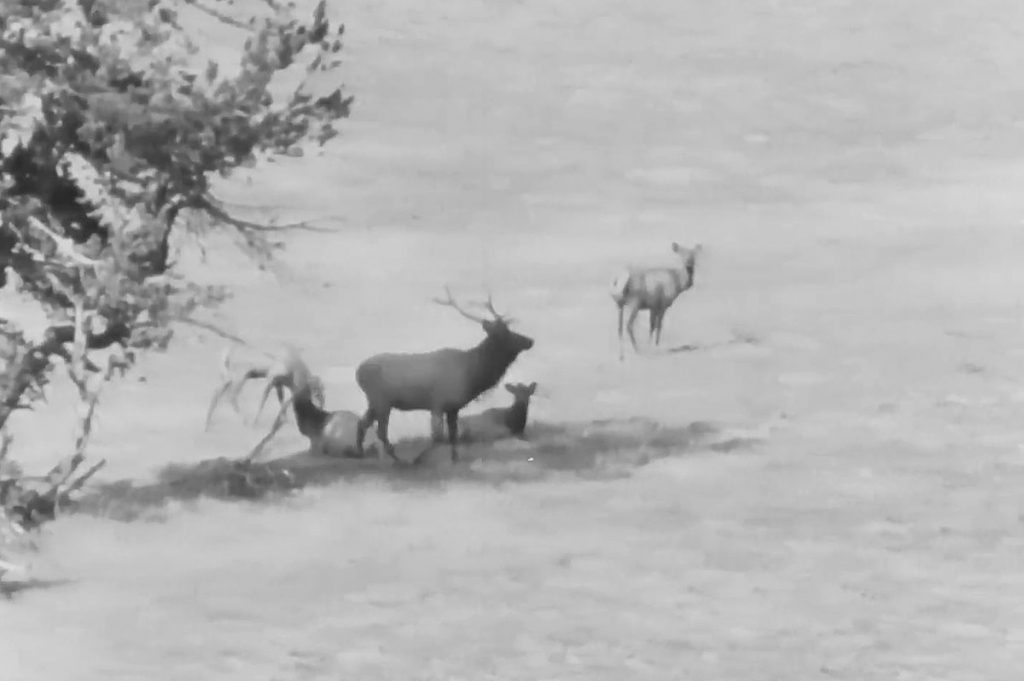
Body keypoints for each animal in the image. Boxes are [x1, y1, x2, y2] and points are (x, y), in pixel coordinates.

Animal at [354, 287, 535, 465]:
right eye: (506, 333)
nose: (530, 340)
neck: (471, 375)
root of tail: (358, 372)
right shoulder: (438, 403)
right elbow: (438, 437)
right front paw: (421, 459)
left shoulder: (453, 407)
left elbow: (453, 435)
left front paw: (455, 459)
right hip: (381, 400)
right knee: (380, 431)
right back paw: (399, 460)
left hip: (375, 402)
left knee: (362, 423)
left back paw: (360, 453)